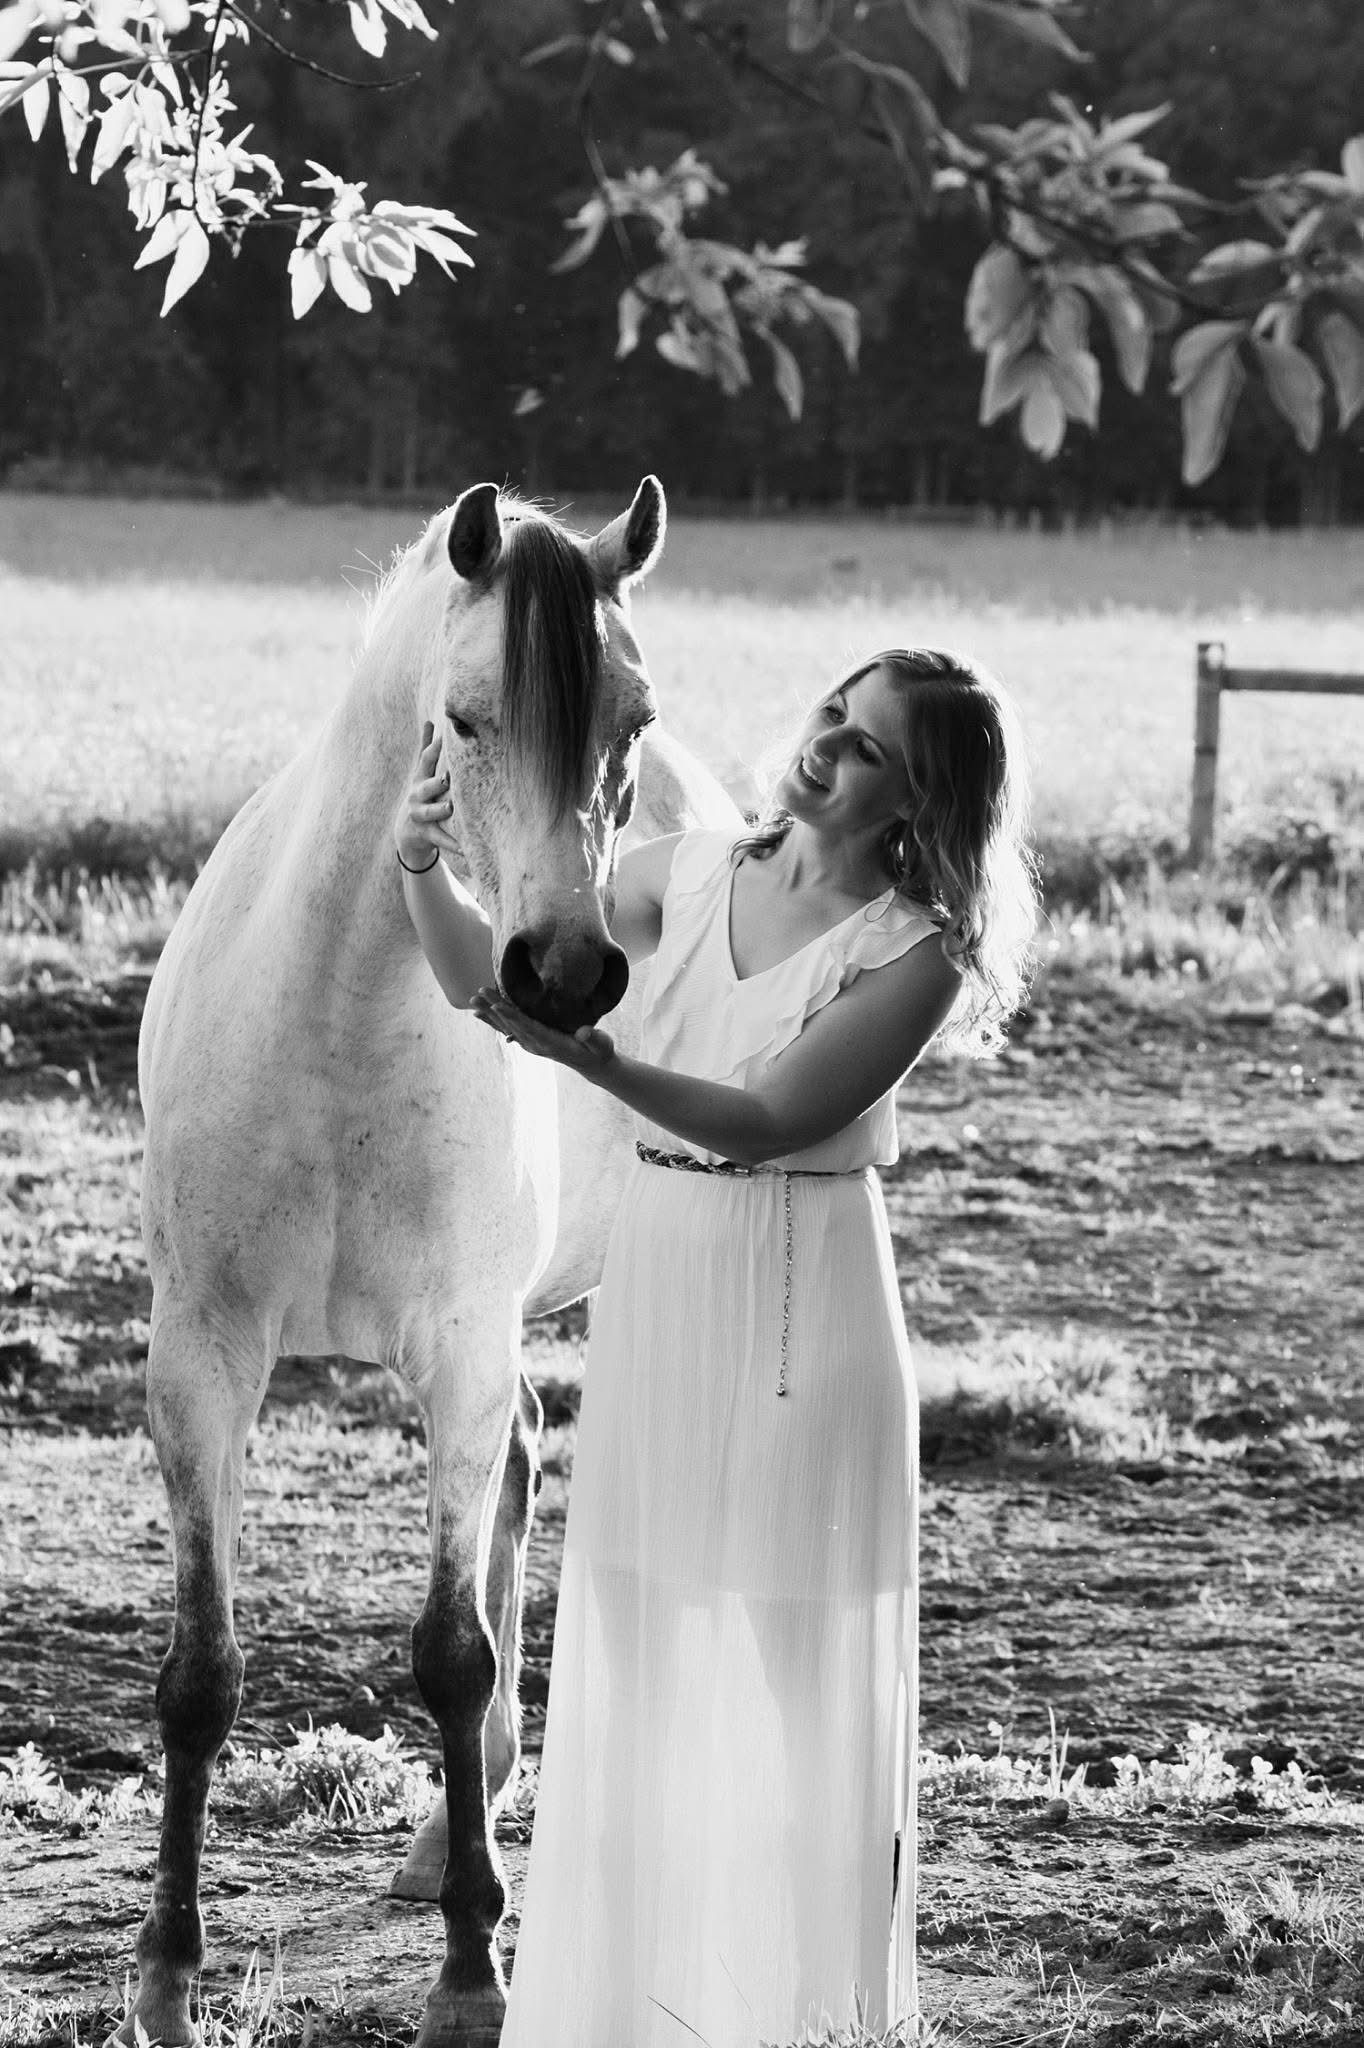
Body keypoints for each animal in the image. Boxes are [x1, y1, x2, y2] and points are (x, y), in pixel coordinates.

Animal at [121, 476, 741, 2048]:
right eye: (463, 718)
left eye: (631, 721)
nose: (564, 974)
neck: (334, 1017)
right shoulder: (201, 1356)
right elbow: (200, 1674)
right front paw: (166, 1969)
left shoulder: (457, 1348)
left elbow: (450, 1652)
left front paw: (472, 1971)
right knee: (521, 1454)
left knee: (519, 1486)